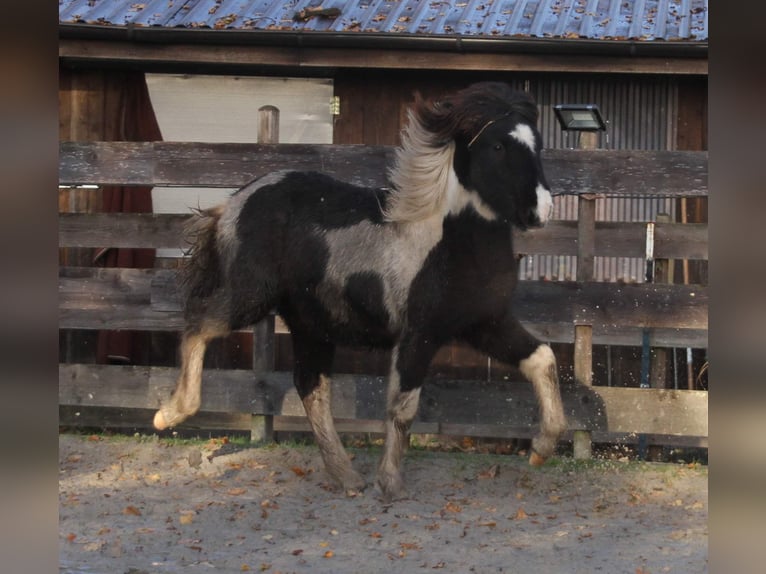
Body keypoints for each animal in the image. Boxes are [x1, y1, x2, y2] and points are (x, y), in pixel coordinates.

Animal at [153, 83, 568, 502]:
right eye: (498, 145)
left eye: (538, 143)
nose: (541, 210)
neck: (449, 241)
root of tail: (233, 203)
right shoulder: (420, 334)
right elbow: (403, 406)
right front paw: (391, 483)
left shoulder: (486, 324)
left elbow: (543, 358)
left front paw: (541, 449)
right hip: (250, 297)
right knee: (198, 324)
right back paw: (169, 413)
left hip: (311, 325)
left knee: (311, 387)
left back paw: (347, 477)